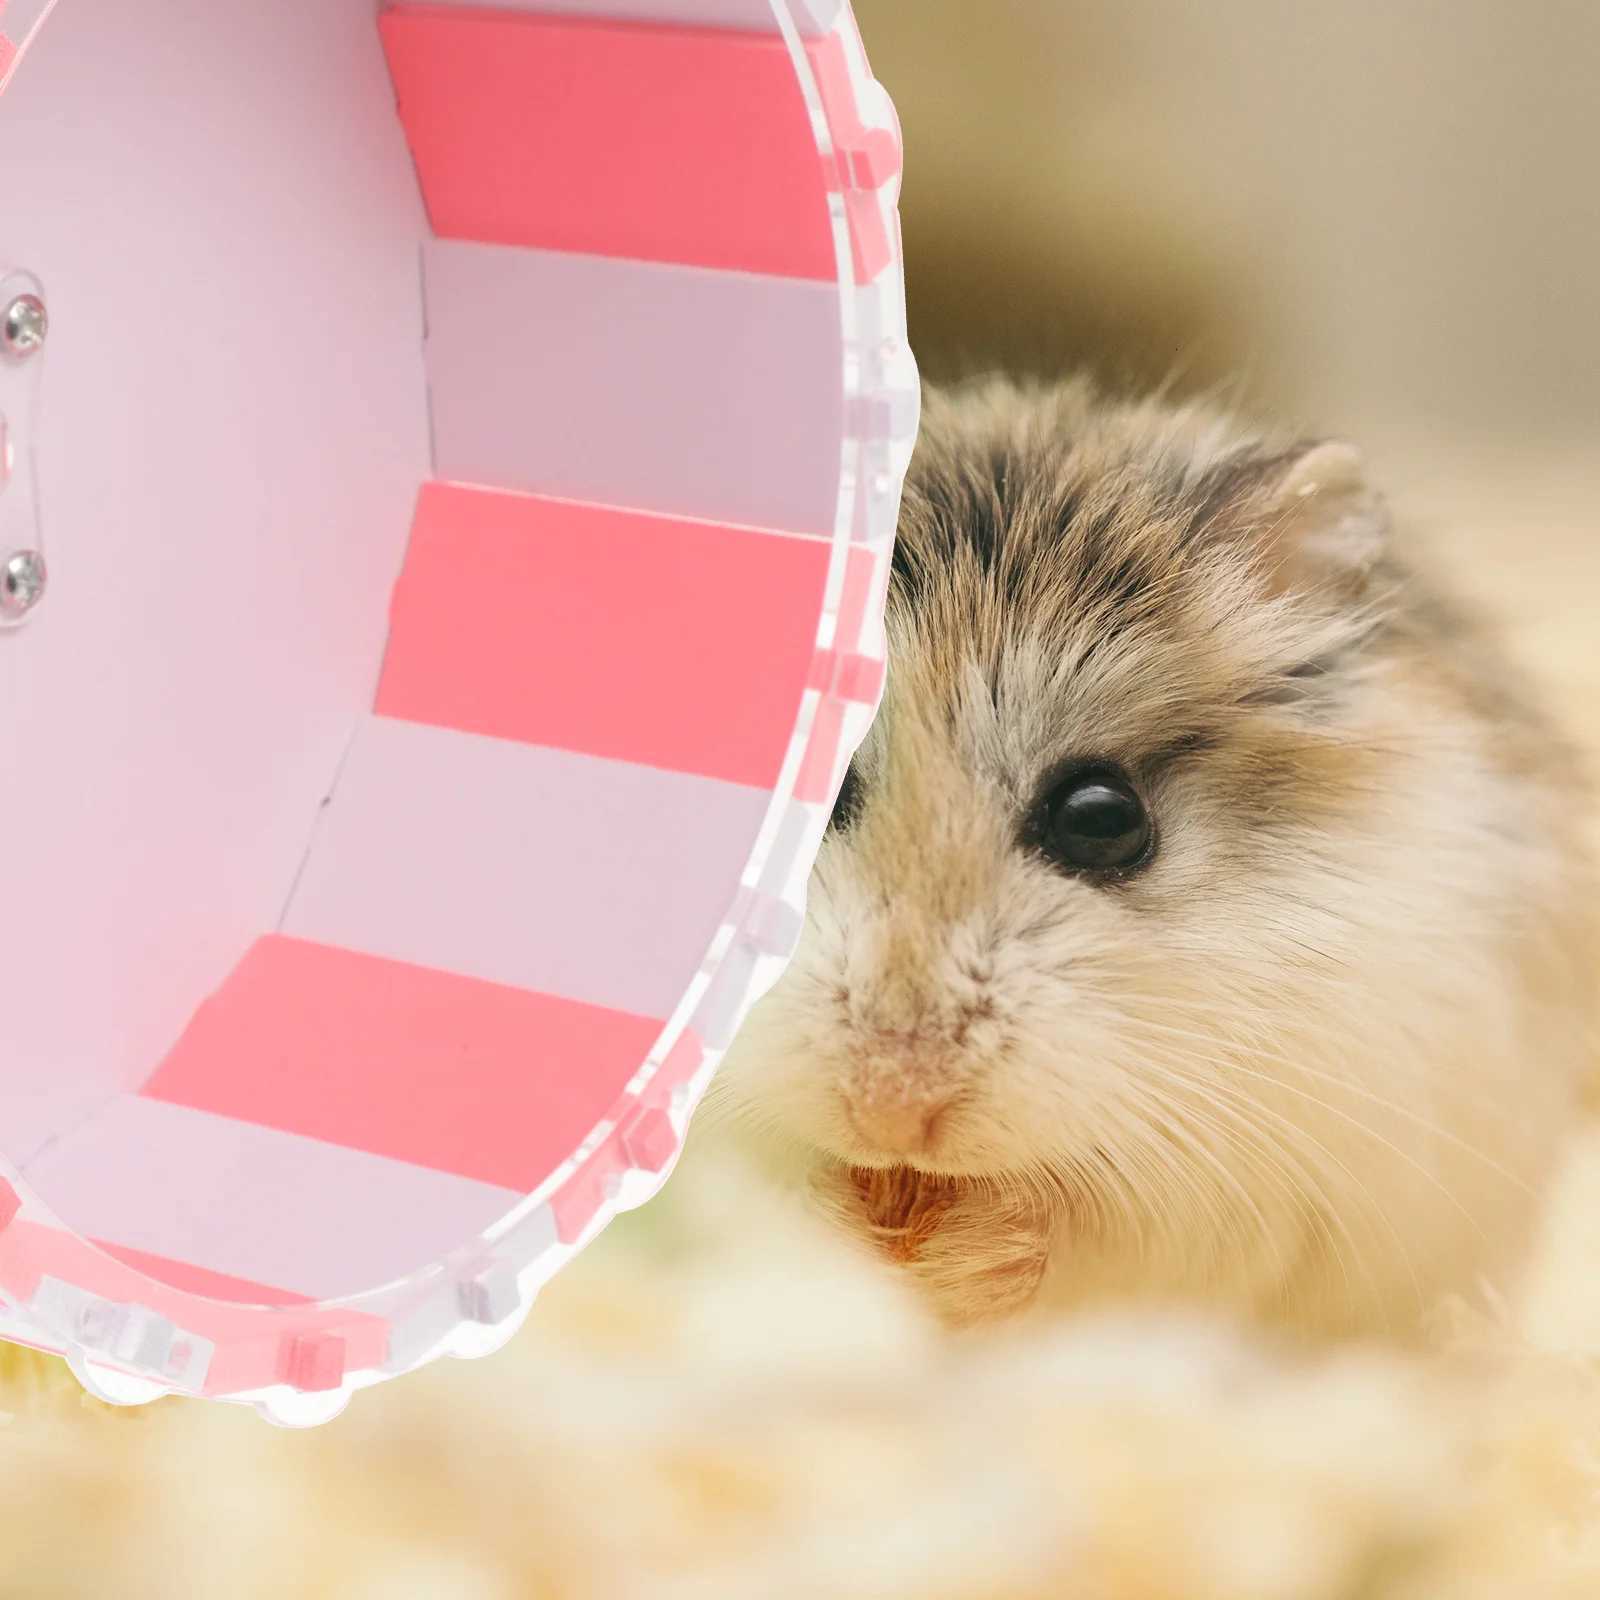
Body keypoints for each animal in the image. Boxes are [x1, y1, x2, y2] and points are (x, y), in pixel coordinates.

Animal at [706, 375, 1596, 1342]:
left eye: (1102, 818)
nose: (891, 1112)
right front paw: (854, 1220)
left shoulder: (1268, 1175)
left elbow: (1090, 1234)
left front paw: (956, 1257)